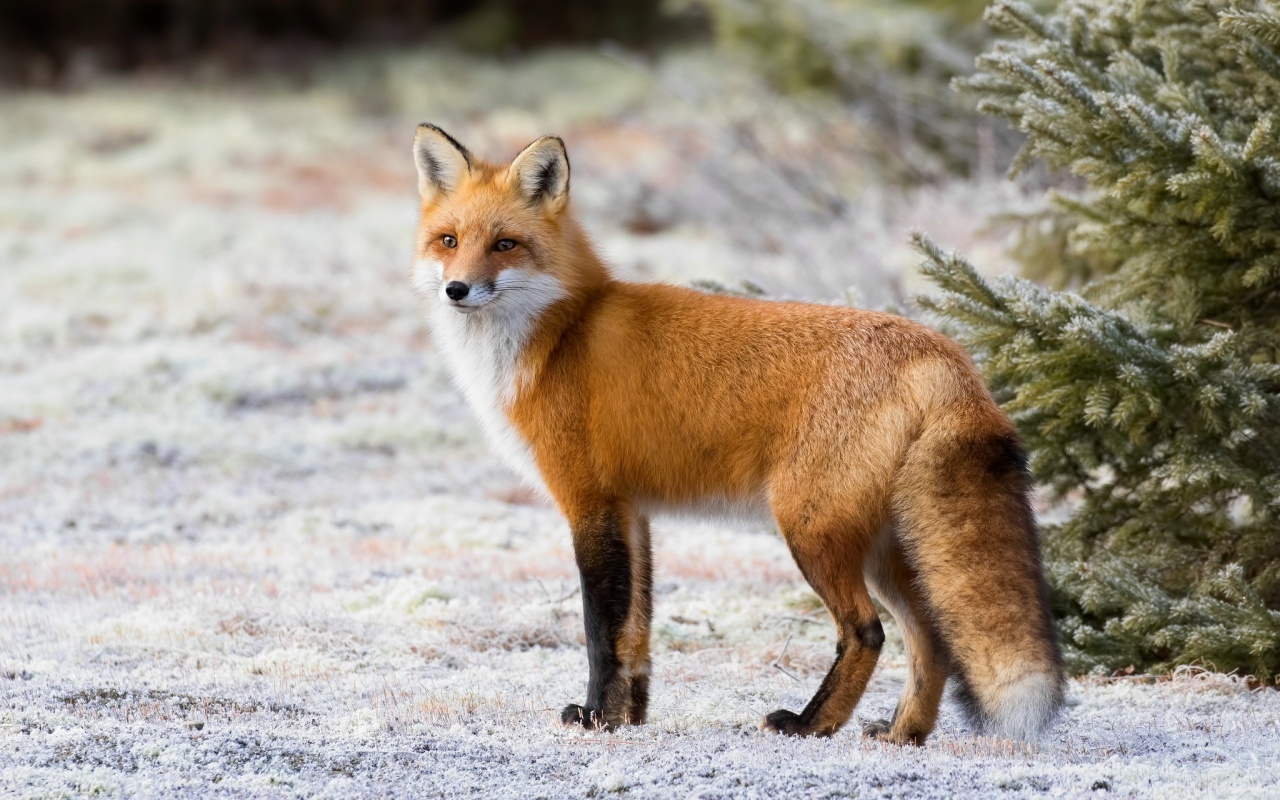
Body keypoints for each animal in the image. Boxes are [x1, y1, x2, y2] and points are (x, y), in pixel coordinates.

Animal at [412, 124, 1070, 742]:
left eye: (505, 244)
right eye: (449, 241)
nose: (456, 289)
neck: (557, 334)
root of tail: (946, 353)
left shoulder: (589, 503)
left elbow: (602, 631)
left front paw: (597, 718)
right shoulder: (632, 512)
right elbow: (637, 631)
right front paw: (630, 719)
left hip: (810, 528)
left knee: (866, 632)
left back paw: (809, 725)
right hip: (887, 546)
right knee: (930, 638)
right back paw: (901, 733)